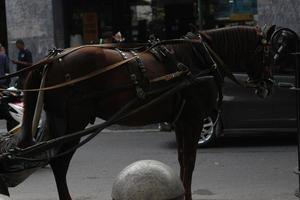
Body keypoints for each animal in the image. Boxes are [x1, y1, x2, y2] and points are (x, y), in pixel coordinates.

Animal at [2, 25, 274, 199]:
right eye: (268, 53)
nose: (268, 85)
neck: (201, 57)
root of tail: (49, 61)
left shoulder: (181, 122)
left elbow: (182, 163)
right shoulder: (194, 120)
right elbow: (189, 164)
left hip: (59, 123)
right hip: (74, 122)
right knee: (59, 163)